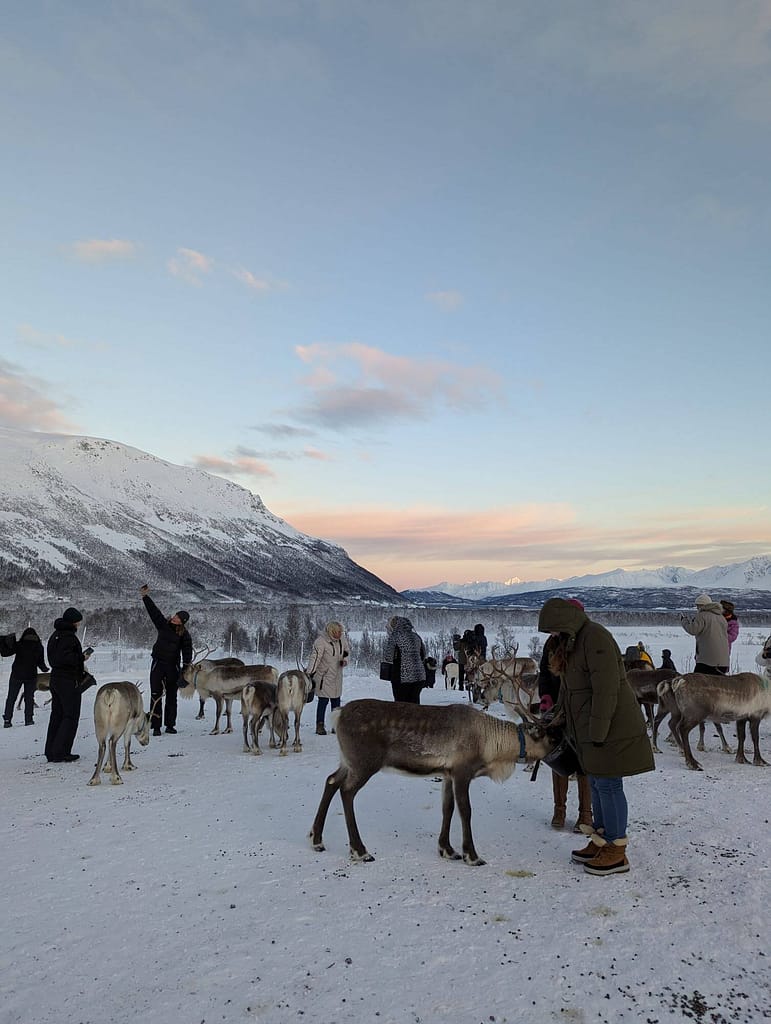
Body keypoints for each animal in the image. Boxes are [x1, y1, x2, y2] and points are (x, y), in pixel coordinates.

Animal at [309, 696, 555, 866]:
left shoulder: (447, 774)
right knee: (346, 791)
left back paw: (316, 839)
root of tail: (338, 714)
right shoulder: (462, 772)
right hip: (364, 764)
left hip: (348, 761)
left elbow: (448, 808)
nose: (562, 753)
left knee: (331, 781)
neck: (491, 746)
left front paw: (447, 849)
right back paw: (360, 851)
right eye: (550, 737)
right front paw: (471, 855)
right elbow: (465, 810)